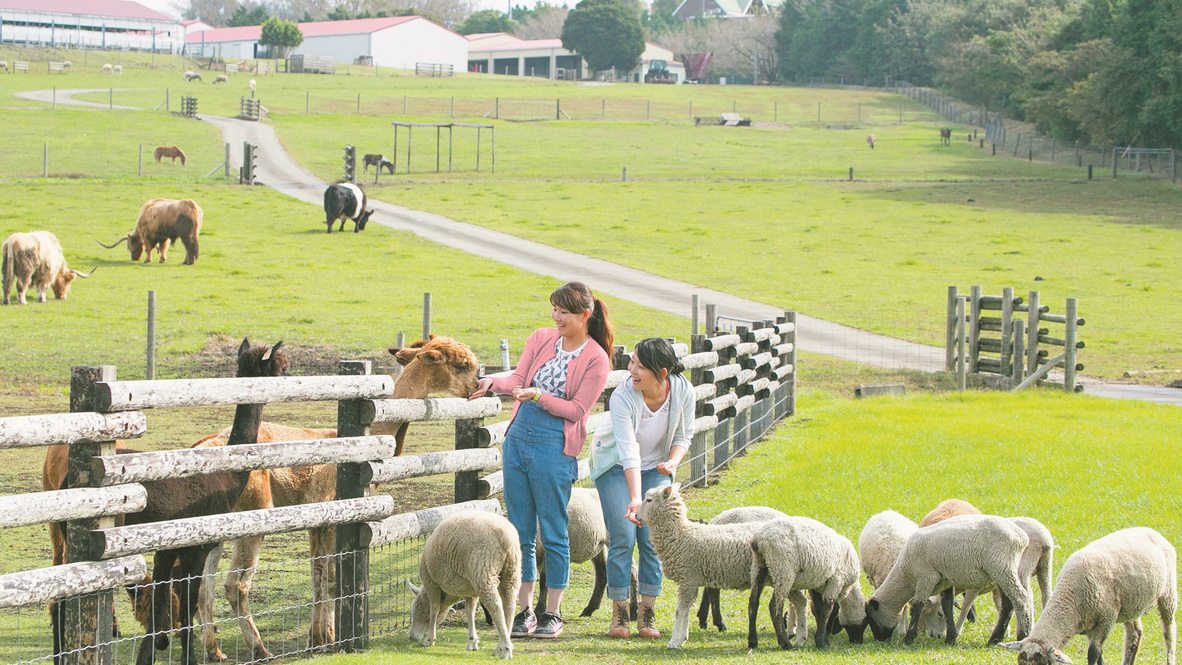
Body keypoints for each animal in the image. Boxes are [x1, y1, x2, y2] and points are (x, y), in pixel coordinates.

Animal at [408, 510, 520, 661]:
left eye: (414, 609)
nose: (411, 637)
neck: (449, 596)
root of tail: (506, 538)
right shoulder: (470, 590)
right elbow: (469, 611)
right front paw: (472, 641)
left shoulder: (431, 582)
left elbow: (434, 609)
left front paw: (430, 639)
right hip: (511, 572)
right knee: (509, 606)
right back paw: (499, 646)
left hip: (483, 572)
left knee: (496, 606)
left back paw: (506, 648)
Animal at [638, 484, 775, 652]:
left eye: (649, 500)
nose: (636, 516)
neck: (680, 535)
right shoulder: (691, 580)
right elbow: (687, 611)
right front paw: (683, 638)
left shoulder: (688, 578)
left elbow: (679, 611)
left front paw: (674, 641)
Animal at [747, 514, 869, 652]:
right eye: (865, 623)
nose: (857, 641)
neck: (849, 589)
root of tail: (758, 540)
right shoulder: (836, 581)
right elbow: (826, 611)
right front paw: (821, 642)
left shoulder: (817, 585)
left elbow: (819, 610)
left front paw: (824, 640)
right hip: (783, 569)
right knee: (774, 606)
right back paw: (785, 643)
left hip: (759, 566)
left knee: (753, 603)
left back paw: (752, 641)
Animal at [860, 514, 1035, 647]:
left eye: (871, 618)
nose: (880, 640)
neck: (905, 573)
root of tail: (1022, 537)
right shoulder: (945, 579)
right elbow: (947, 605)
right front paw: (950, 639)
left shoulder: (926, 576)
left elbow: (917, 605)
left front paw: (908, 639)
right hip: (1001, 573)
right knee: (1007, 605)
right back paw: (994, 639)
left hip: (1002, 568)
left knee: (1021, 599)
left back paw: (1022, 635)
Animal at [997, 529, 1172, 665]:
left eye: (1043, 663)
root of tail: (1150, 530)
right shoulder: (1090, 624)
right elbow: (1100, 654)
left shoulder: (1105, 620)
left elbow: (1093, 653)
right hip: (1130, 606)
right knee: (1135, 635)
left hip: (1168, 594)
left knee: (1169, 632)